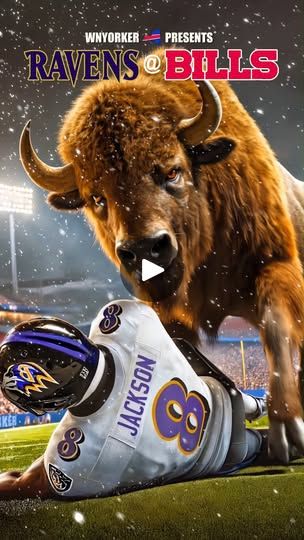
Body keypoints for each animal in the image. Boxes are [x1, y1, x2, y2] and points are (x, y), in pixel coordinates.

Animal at [20, 47, 304, 464]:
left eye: (171, 170)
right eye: (96, 198)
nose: (144, 250)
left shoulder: (275, 263)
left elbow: (276, 327)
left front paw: (287, 430)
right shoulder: (166, 313)